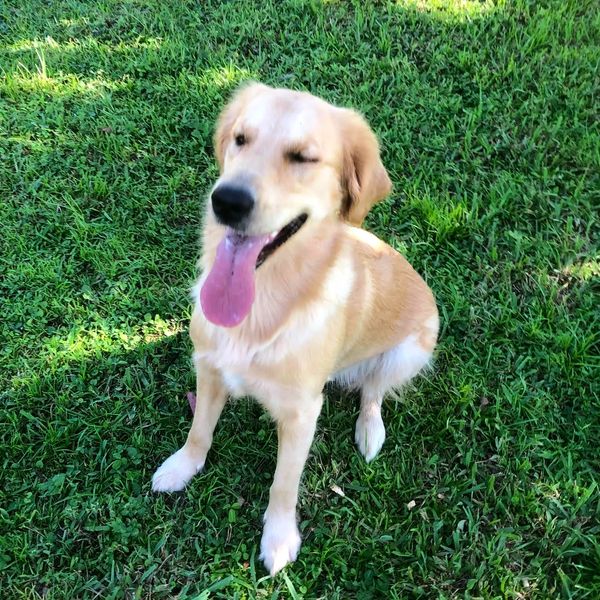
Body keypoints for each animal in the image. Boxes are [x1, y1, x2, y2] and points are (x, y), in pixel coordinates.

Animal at [152, 82, 438, 576]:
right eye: (240, 139)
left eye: (303, 157)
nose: (227, 201)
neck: (261, 307)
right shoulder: (209, 369)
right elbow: (199, 431)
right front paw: (182, 467)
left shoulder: (303, 413)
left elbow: (283, 484)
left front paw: (279, 537)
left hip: (412, 349)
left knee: (374, 390)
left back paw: (370, 430)